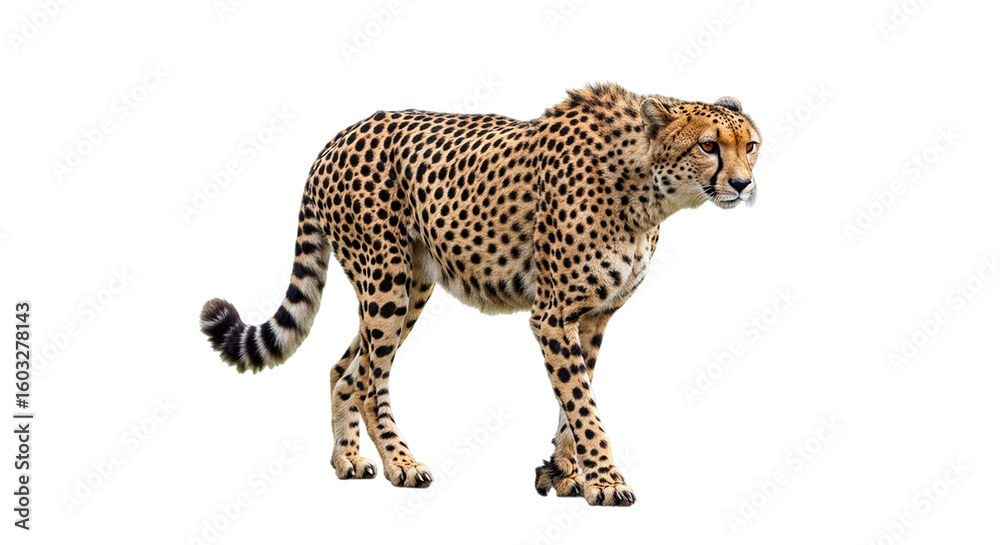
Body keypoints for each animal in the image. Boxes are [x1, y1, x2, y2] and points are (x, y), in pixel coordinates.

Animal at [200, 83, 760, 506]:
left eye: (750, 145)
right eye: (708, 146)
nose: (742, 184)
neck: (646, 187)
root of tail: (341, 134)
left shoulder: (593, 316)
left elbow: (573, 401)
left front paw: (563, 474)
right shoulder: (553, 314)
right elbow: (584, 404)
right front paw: (605, 481)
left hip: (412, 284)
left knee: (345, 367)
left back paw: (348, 459)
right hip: (386, 280)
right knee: (367, 378)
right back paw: (401, 463)